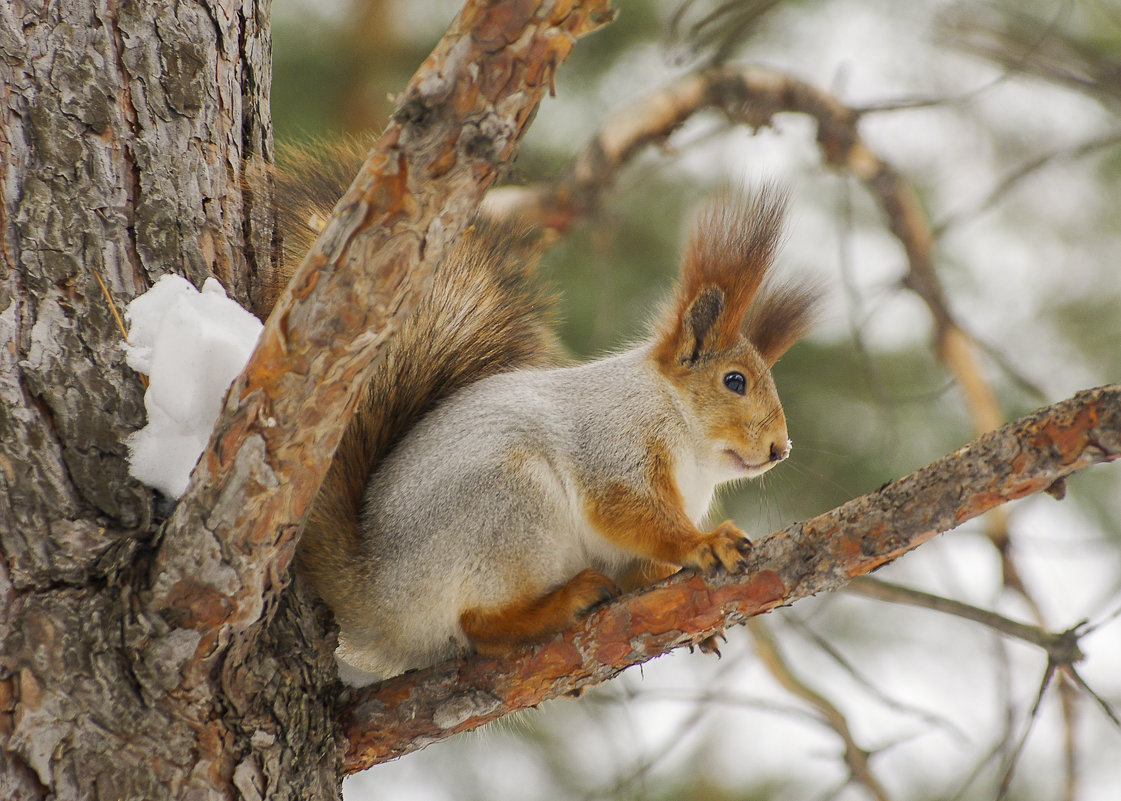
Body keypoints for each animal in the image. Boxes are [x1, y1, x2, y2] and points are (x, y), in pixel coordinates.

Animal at [265, 141, 820, 685]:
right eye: (735, 381)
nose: (781, 448)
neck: (683, 430)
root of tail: (374, 594)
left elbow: (642, 567)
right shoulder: (614, 443)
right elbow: (628, 512)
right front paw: (705, 542)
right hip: (509, 508)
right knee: (479, 625)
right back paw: (563, 602)